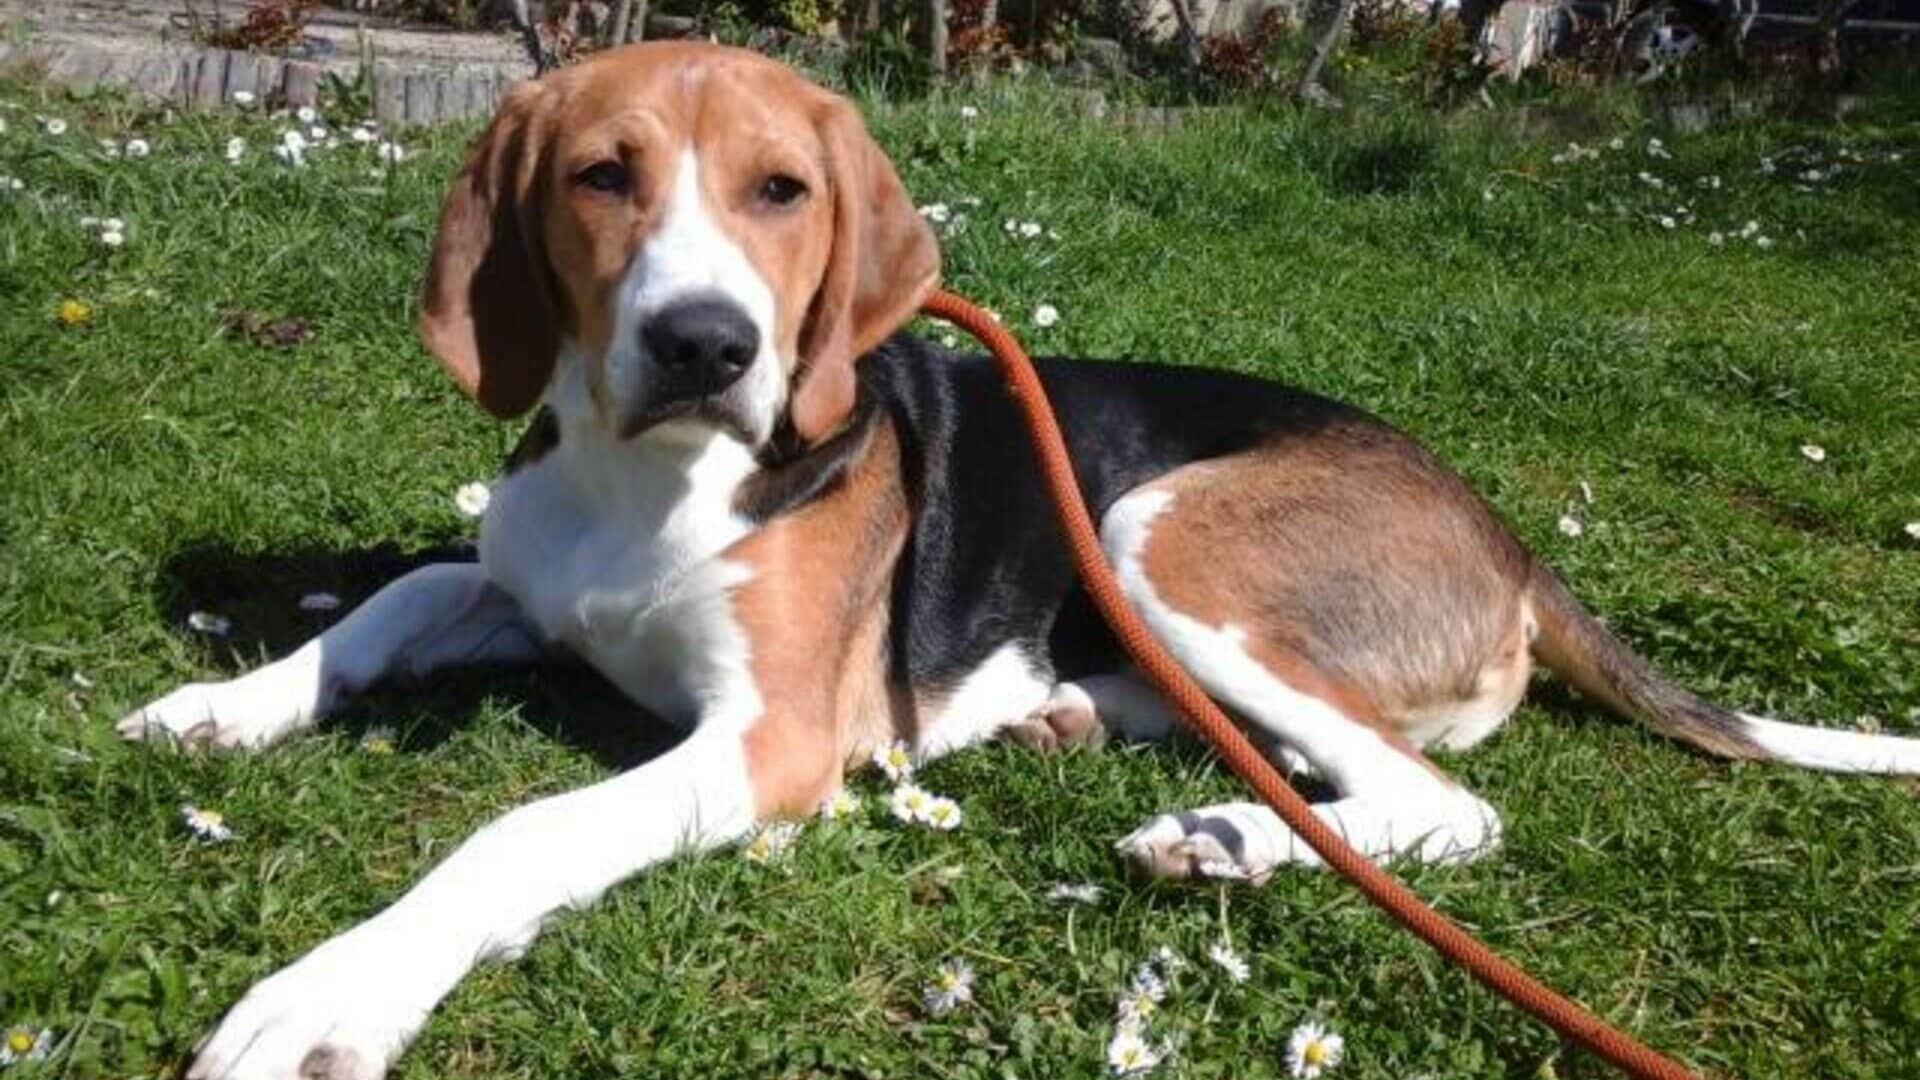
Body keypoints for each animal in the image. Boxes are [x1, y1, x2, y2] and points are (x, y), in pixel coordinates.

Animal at [120, 42, 1920, 1076]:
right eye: (600, 178)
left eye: (782, 191)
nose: (706, 345)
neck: (650, 481)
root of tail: (1507, 533)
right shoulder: (516, 580)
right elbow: (403, 592)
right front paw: (220, 706)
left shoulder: (774, 744)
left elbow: (520, 833)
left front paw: (338, 994)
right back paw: (1103, 740)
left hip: (1154, 528)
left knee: (1442, 807)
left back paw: (1223, 841)